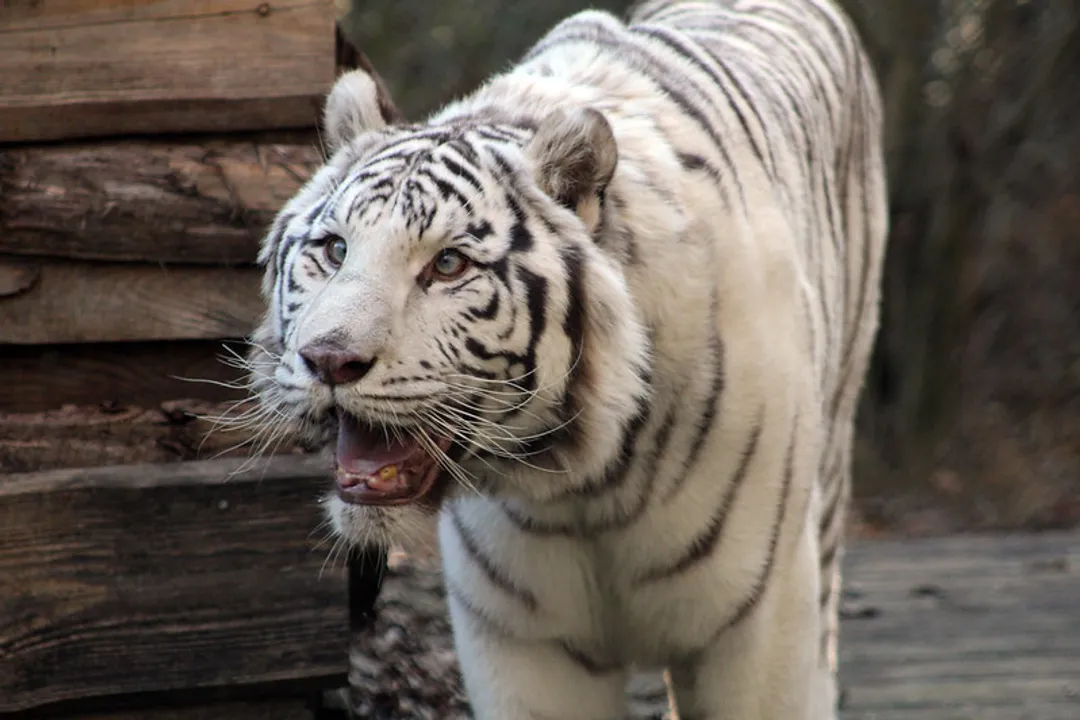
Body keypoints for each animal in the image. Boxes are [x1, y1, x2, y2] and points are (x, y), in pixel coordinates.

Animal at [246, 0, 886, 717]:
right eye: (333, 250)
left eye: (448, 265)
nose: (328, 360)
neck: (585, 483)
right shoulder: (523, 644)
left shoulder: (756, 629)